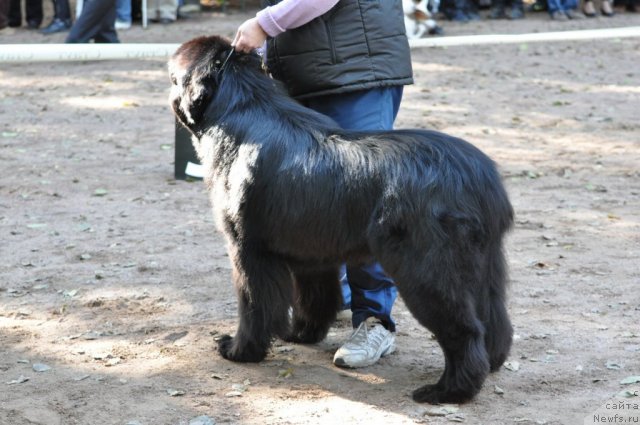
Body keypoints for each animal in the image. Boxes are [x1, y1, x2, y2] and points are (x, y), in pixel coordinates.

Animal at [170, 34, 516, 402]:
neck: (242, 111)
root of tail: (482, 179)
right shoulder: (309, 251)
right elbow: (315, 299)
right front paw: (302, 334)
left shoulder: (248, 249)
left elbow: (255, 306)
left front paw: (239, 350)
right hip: (484, 266)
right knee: (495, 319)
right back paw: (492, 363)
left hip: (427, 270)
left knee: (464, 330)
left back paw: (448, 390)